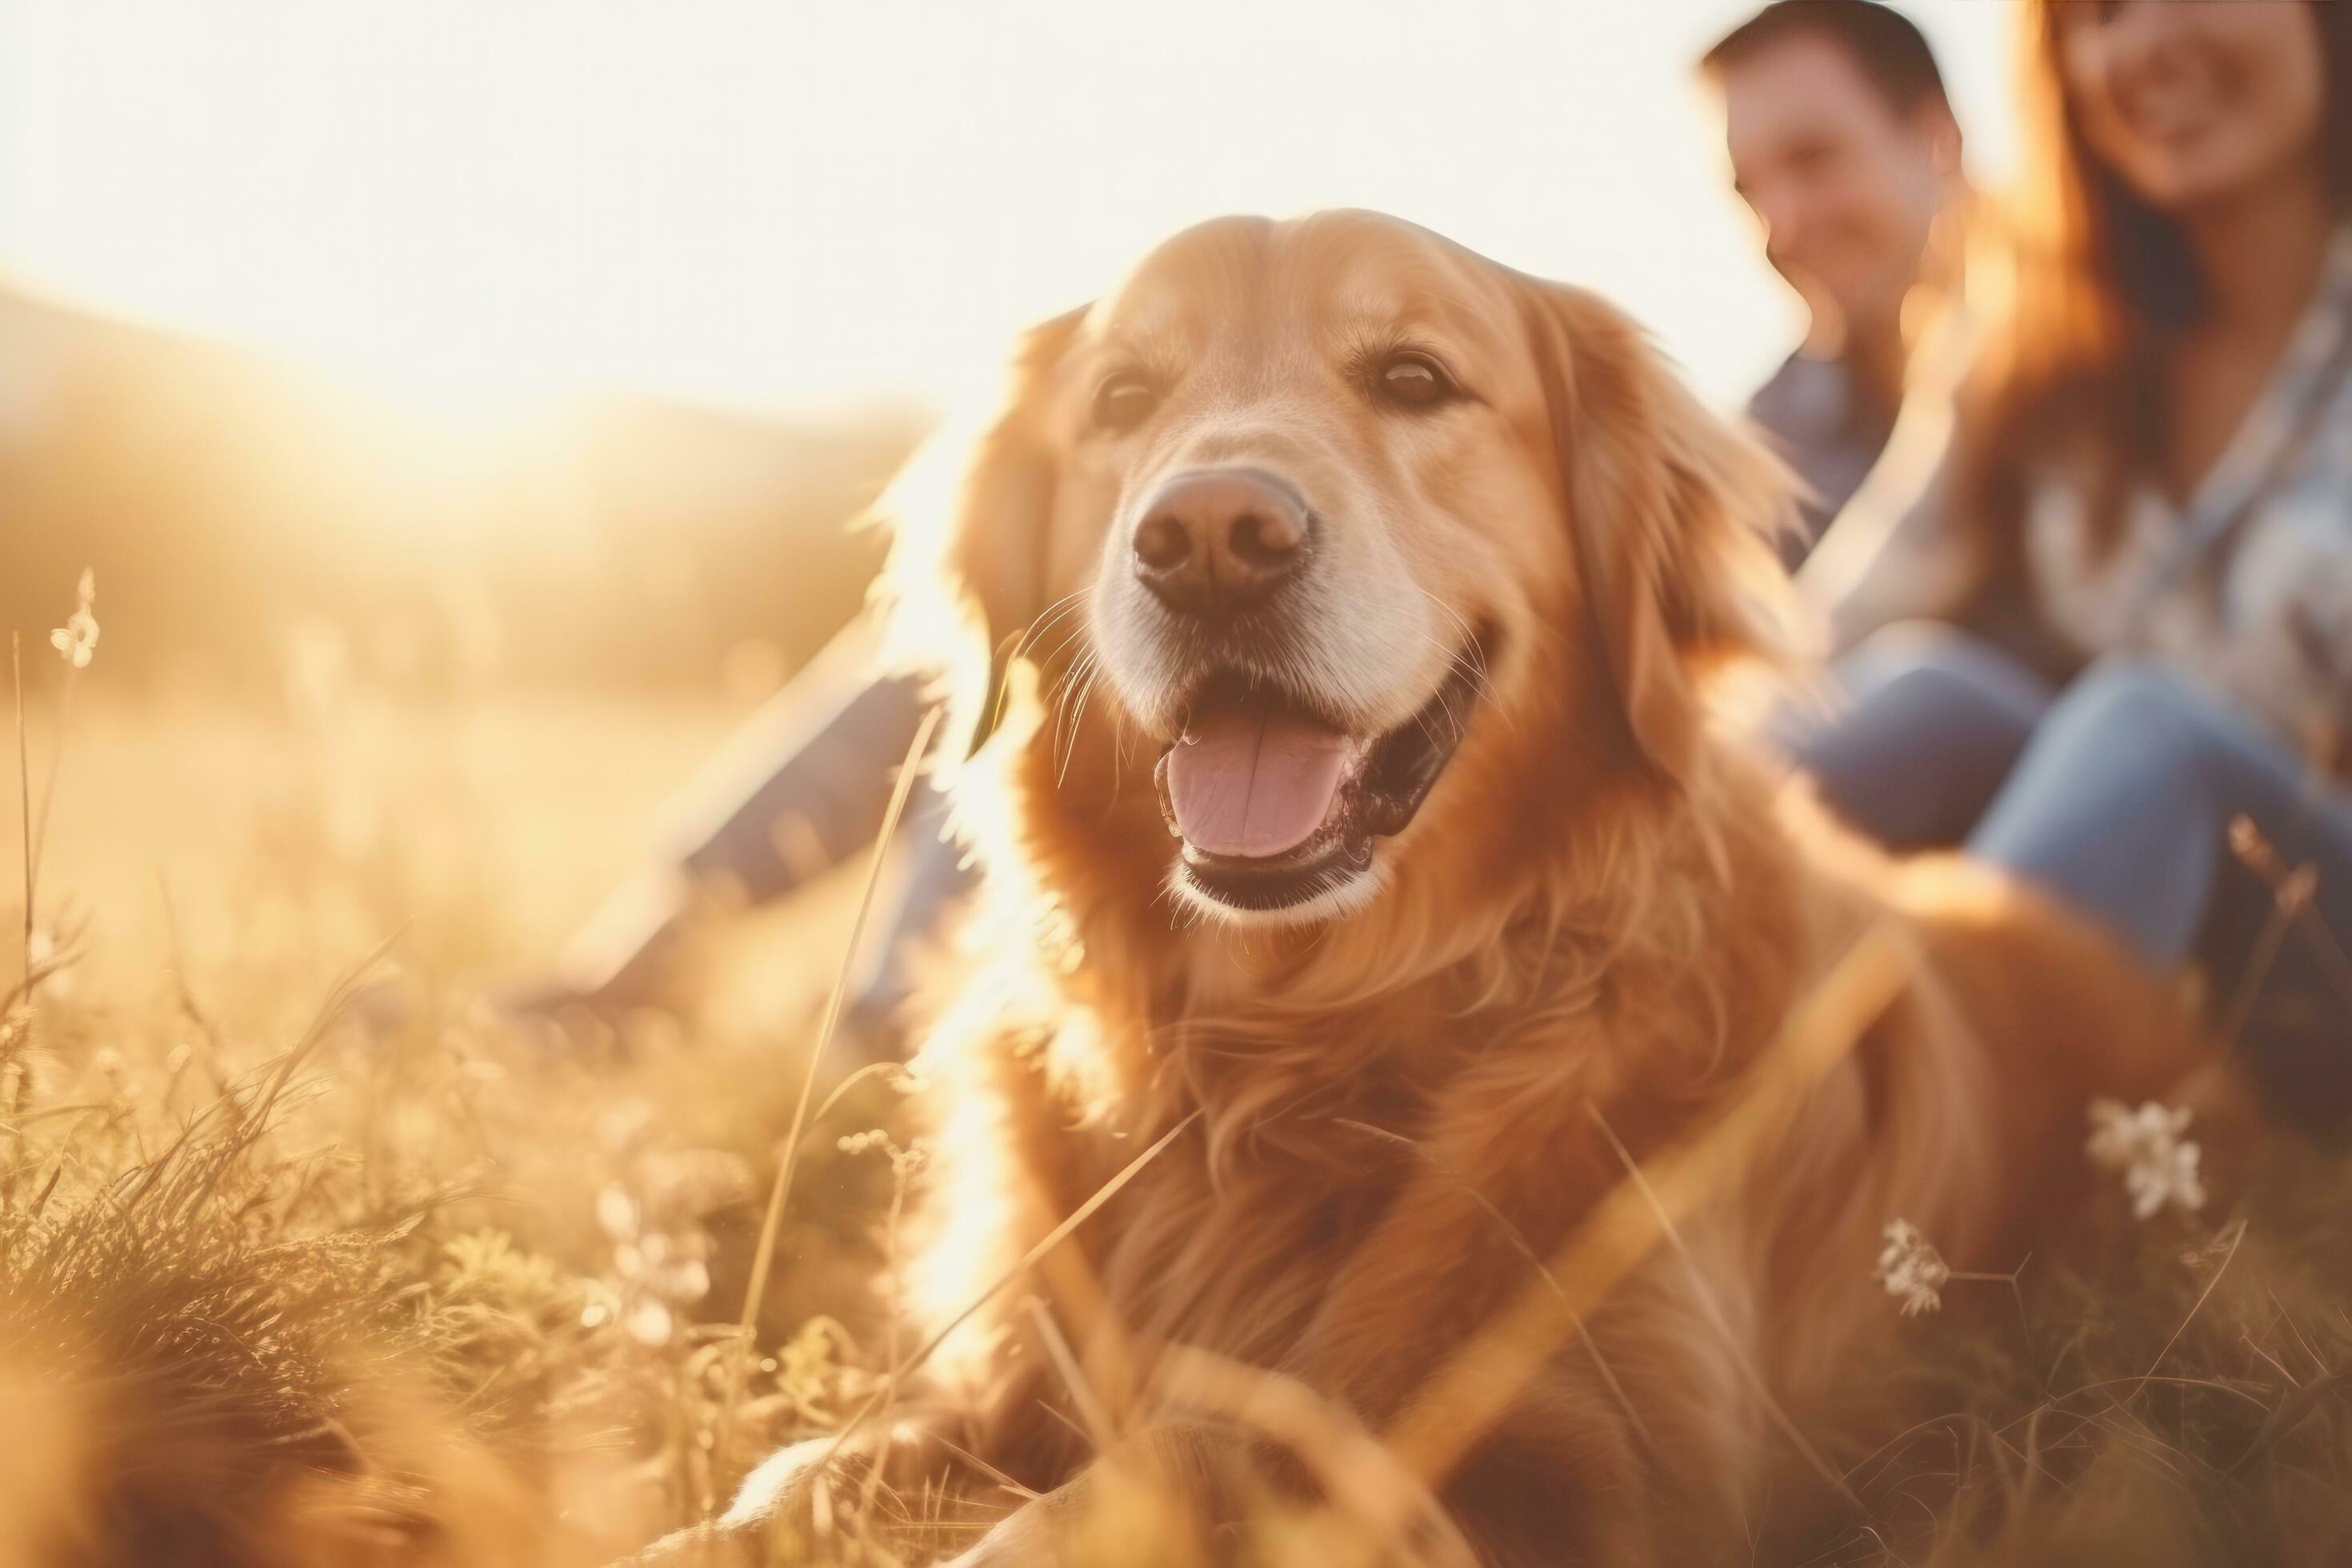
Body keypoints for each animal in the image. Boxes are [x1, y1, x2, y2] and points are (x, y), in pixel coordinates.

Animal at [654, 211, 2210, 1568]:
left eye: (1414, 379)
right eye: (1124, 397)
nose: (1210, 537)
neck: (1291, 1056)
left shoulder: (1606, 1473)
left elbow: (1214, 1452)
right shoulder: (1013, 1359)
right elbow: (831, 1464)